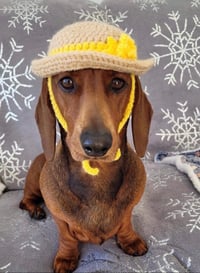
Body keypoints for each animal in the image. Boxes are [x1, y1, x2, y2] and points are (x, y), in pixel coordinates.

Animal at [19, 66, 152, 272]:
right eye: (66, 82)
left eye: (117, 82)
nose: (97, 145)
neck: (96, 175)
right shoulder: (59, 218)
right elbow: (66, 236)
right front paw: (66, 257)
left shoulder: (129, 208)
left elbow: (125, 222)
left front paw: (129, 240)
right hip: (34, 180)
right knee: (25, 201)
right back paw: (35, 210)